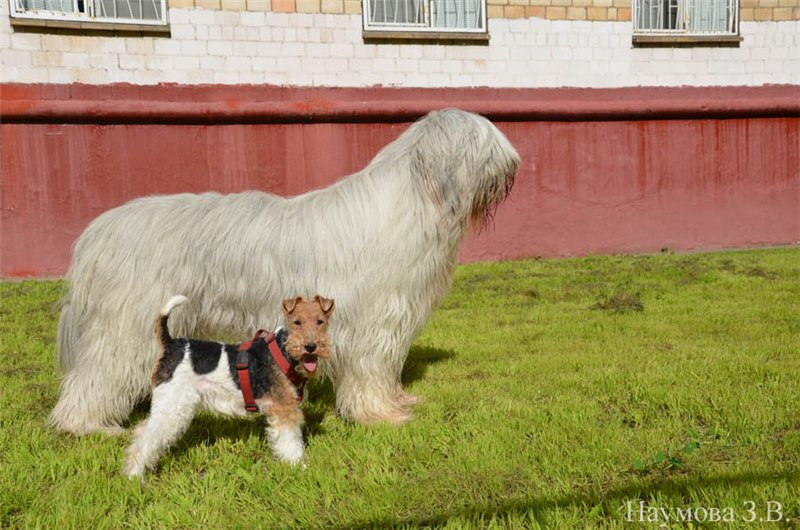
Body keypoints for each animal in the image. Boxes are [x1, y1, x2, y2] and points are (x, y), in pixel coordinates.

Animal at [51, 107, 524, 434]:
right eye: (486, 141)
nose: (516, 165)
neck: (417, 197)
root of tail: (98, 232)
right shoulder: (371, 323)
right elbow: (370, 370)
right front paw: (381, 415)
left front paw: (397, 402)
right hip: (127, 324)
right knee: (96, 374)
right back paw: (87, 425)